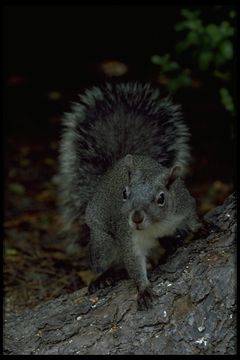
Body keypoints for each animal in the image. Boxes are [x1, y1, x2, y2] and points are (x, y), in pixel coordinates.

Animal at [58, 82, 201, 310]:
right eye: (124, 194)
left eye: (161, 198)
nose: (136, 218)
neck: (154, 226)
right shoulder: (128, 238)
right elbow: (133, 263)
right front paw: (143, 289)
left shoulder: (184, 206)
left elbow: (193, 219)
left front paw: (205, 228)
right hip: (103, 242)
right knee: (102, 260)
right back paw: (103, 277)